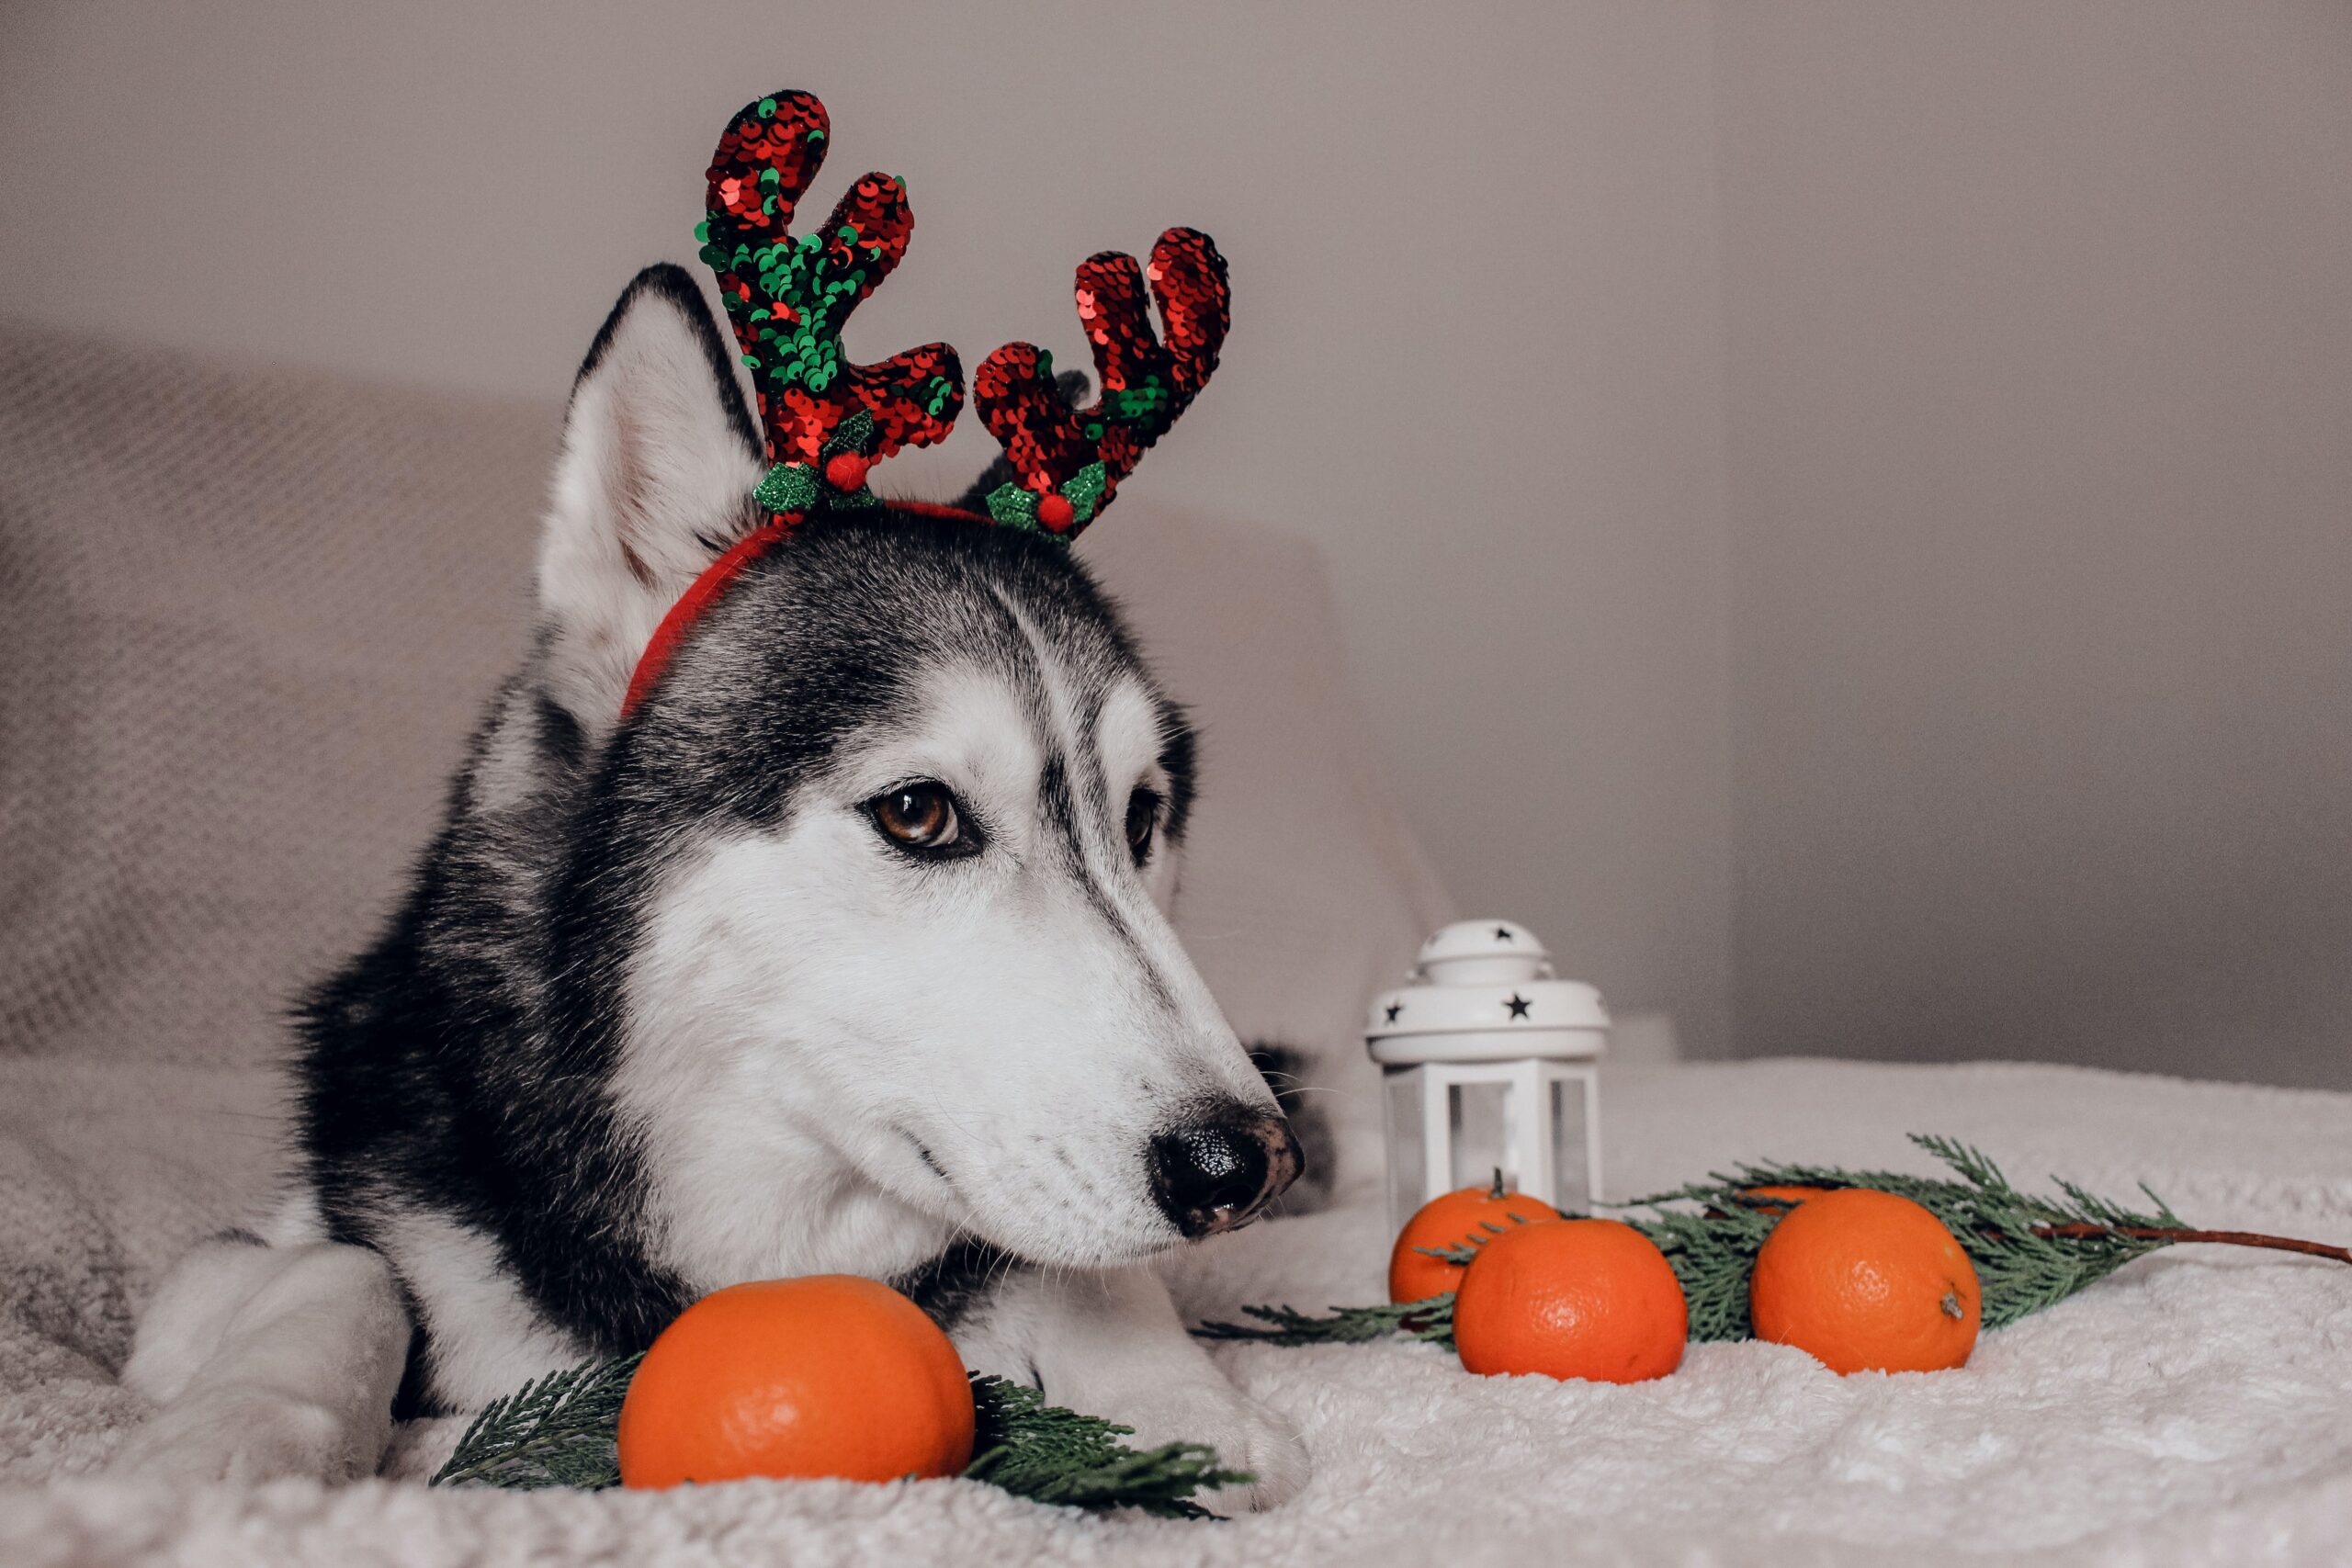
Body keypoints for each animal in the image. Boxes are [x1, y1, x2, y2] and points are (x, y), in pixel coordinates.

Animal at [114, 270, 1307, 1504]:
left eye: (1141, 818)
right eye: (918, 813)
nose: (1246, 1165)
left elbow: (1084, 1270)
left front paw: (1183, 1400)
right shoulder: (225, 1267)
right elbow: (345, 1269)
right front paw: (238, 1433)